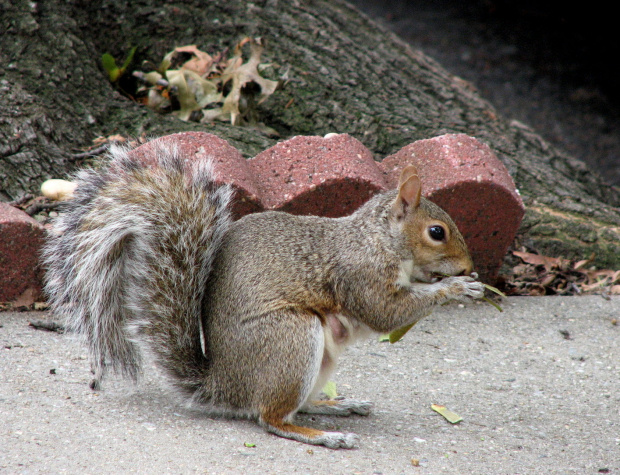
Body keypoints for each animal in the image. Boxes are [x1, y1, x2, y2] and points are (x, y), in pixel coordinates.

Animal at [43, 139, 486, 448]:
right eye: (436, 232)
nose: (467, 266)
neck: (377, 239)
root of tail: (223, 384)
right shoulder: (360, 275)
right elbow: (385, 313)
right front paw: (457, 287)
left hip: (316, 358)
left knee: (296, 405)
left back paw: (334, 405)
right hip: (290, 338)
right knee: (271, 418)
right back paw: (323, 436)